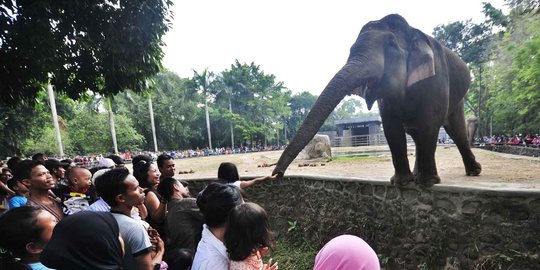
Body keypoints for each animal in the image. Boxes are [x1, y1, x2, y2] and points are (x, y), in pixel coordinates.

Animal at [274, 13, 480, 187]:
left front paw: (426, 183)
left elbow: (429, 123)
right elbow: (391, 128)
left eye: (391, 45)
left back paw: (473, 171)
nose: (275, 174)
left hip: (457, 98)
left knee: (455, 130)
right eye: (351, 49)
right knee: (418, 133)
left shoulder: (435, 79)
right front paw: (401, 182)